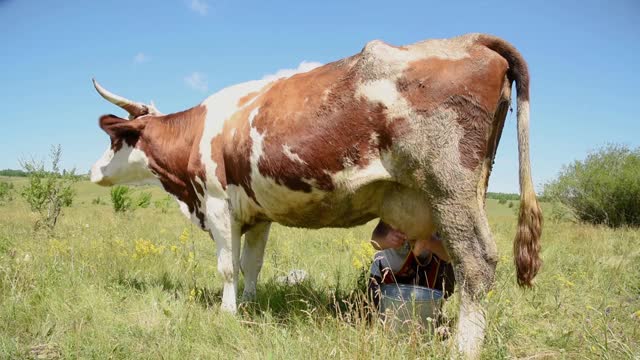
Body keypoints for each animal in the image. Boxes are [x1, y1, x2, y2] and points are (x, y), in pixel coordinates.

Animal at [89, 33, 540, 358]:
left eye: (115, 141)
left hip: (450, 188)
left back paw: (465, 347)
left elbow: (227, 268)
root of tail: (470, 39)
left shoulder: (217, 205)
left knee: (477, 263)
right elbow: (251, 265)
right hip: (467, 192)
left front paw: (228, 312)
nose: (93, 172)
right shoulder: (257, 215)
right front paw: (250, 304)